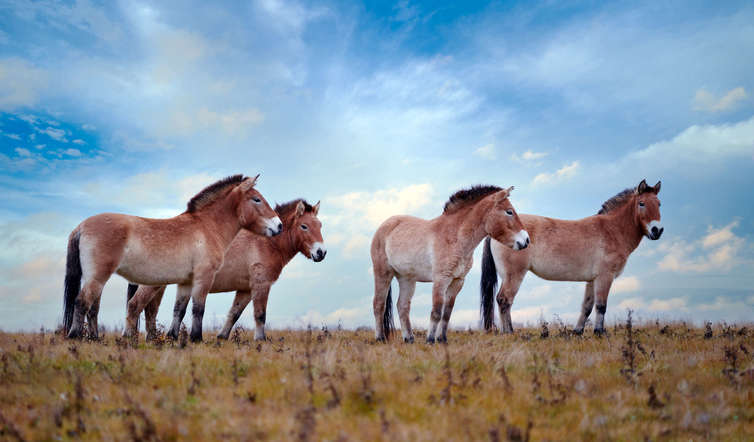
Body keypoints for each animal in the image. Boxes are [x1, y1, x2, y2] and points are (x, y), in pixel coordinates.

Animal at [62, 174, 282, 340]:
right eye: (256, 199)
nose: (279, 226)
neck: (207, 227)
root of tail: (81, 226)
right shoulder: (204, 277)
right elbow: (198, 308)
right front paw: (196, 338)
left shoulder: (186, 282)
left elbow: (180, 310)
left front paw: (174, 338)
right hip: (98, 277)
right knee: (82, 302)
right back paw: (75, 336)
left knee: (93, 306)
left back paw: (94, 338)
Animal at [122, 199, 324, 342]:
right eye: (304, 226)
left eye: (320, 225)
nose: (321, 252)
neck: (266, 242)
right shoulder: (261, 285)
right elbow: (260, 314)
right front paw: (261, 340)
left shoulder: (245, 289)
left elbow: (234, 313)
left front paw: (222, 337)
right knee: (136, 305)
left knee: (150, 310)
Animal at [372, 185, 528, 344]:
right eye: (509, 211)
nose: (526, 240)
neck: (455, 237)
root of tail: (385, 225)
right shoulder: (441, 279)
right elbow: (436, 311)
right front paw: (430, 340)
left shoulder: (457, 281)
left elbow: (447, 312)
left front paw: (442, 339)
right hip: (383, 273)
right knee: (379, 304)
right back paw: (380, 338)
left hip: (406, 279)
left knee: (402, 306)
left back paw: (409, 338)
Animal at [478, 180, 660, 334]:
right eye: (641, 203)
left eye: (659, 203)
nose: (657, 230)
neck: (611, 230)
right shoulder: (605, 277)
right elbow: (601, 306)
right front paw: (599, 332)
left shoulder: (592, 279)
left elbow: (587, 306)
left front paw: (578, 332)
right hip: (514, 275)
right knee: (504, 300)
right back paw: (509, 332)